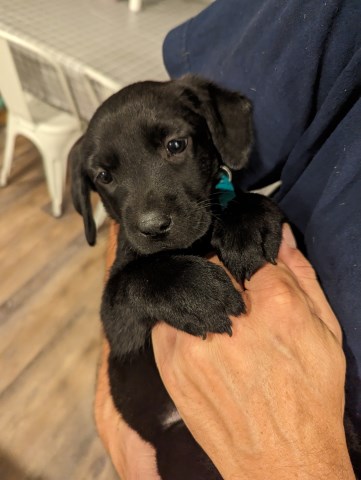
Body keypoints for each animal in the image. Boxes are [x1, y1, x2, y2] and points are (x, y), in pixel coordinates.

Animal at [69, 77, 284, 478]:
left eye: (175, 145)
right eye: (104, 176)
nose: (153, 227)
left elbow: (239, 198)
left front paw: (246, 225)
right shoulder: (117, 325)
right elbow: (139, 276)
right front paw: (199, 295)